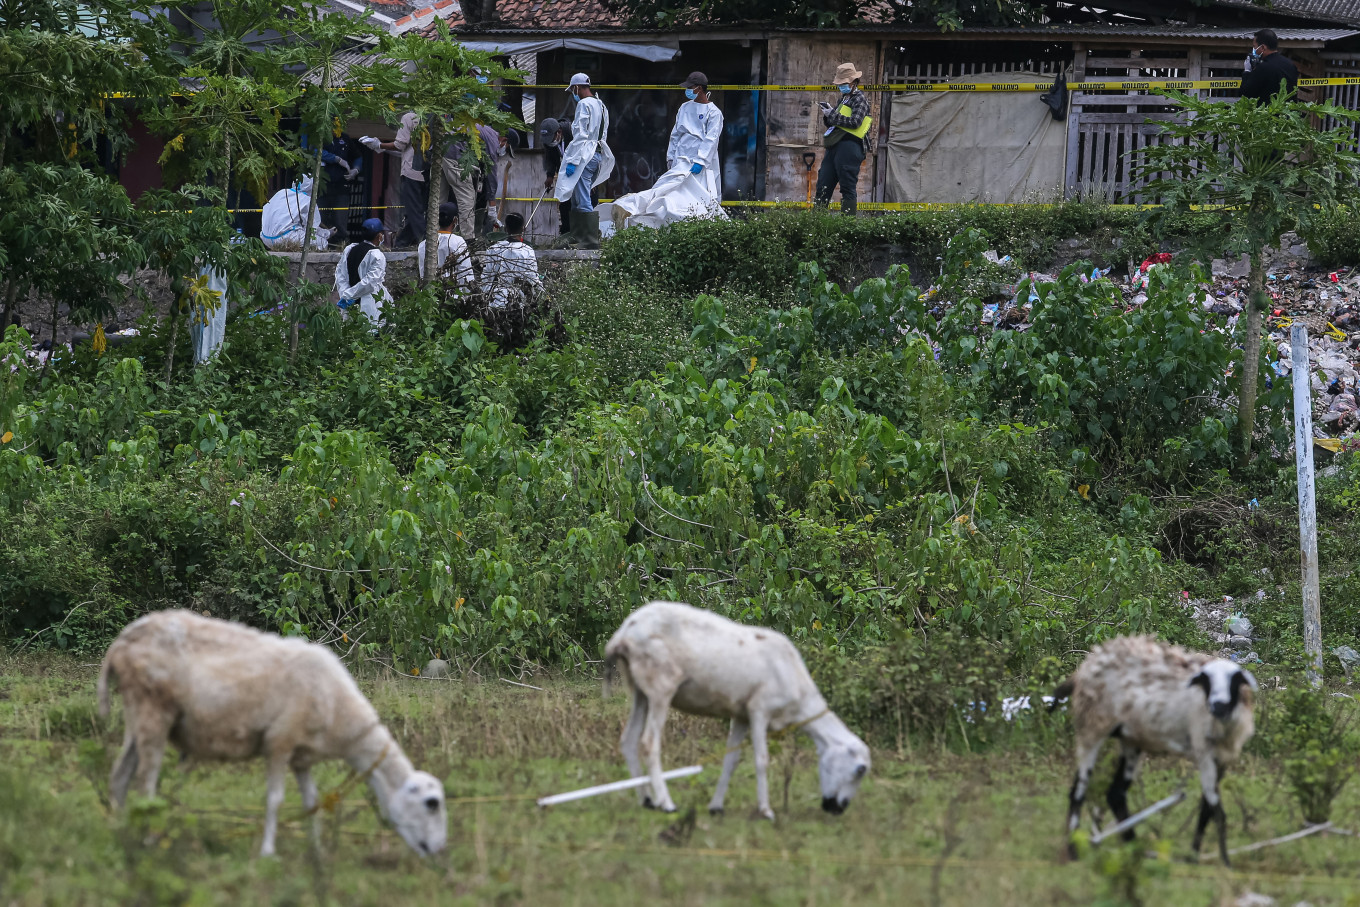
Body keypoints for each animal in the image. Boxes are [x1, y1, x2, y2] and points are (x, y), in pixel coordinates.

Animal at [97, 610, 447, 857]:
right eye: (432, 804)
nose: (439, 851)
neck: (342, 715)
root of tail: (120, 643)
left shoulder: (302, 757)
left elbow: (312, 802)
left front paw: (317, 851)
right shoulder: (279, 741)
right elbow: (275, 799)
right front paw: (267, 852)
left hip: (137, 716)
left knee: (119, 777)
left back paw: (120, 831)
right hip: (152, 710)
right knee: (145, 781)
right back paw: (148, 838)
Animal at [603, 600, 870, 820]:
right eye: (860, 770)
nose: (837, 809)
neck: (801, 702)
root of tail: (624, 632)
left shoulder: (740, 715)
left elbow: (731, 760)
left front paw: (716, 808)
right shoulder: (760, 709)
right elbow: (762, 760)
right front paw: (766, 811)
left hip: (640, 690)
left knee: (628, 740)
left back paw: (647, 800)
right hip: (661, 685)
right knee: (649, 743)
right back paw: (666, 803)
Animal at [1052, 635, 1257, 865]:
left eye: (1235, 680)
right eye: (1205, 680)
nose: (1218, 705)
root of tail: (1086, 667)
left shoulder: (1222, 758)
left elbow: (1207, 810)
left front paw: (1197, 856)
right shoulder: (1203, 752)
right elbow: (1216, 809)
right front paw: (1222, 862)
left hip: (1131, 739)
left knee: (1115, 794)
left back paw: (1132, 847)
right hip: (1092, 727)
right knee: (1078, 792)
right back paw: (1074, 851)